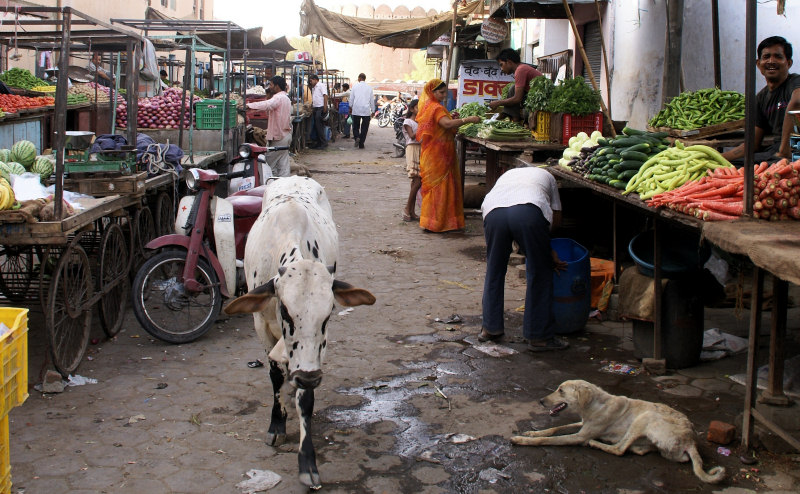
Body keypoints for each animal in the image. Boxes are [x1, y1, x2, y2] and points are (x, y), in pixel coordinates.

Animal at [223, 176, 376, 488]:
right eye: (284, 311)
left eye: (328, 314)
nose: (306, 377)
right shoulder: (261, 325)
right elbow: (274, 375)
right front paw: (276, 424)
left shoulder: (318, 347)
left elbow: (306, 398)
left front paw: (307, 462)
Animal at [512, 380, 724, 484]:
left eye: (561, 391)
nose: (540, 401)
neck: (594, 405)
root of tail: (691, 440)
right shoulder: (581, 424)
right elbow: (554, 428)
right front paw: (532, 433)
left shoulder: (580, 435)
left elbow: (550, 439)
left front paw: (522, 439)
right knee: (636, 449)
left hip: (645, 417)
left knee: (619, 450)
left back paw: (597, 444)